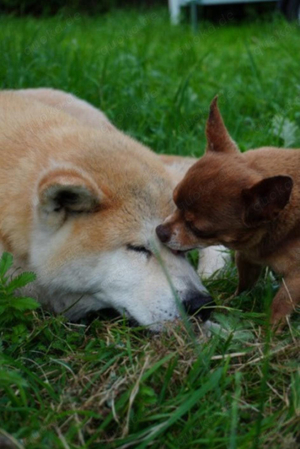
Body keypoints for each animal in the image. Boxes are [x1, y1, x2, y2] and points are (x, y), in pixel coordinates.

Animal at [157, 96, 300, 324]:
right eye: (174, 200)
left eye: (198, 230)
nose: (159, 231)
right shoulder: (247, 257)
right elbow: (244, 284)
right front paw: (231, 303)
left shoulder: (295, 280)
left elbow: (280, 305)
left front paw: (268, 329)